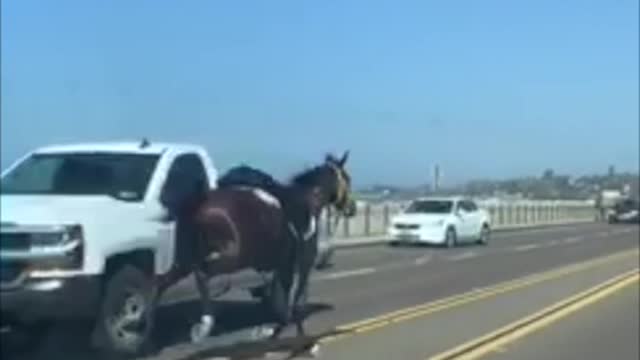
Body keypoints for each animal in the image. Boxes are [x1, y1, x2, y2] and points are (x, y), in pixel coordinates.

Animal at [179, 150, 356, 348]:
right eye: (347, 178)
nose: (352, 207)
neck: (308, 202)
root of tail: (202, 206)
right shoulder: (302, 261)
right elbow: (295, 297)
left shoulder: (282, 263)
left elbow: (279, 294)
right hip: (234, 256)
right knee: (203, 274)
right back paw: (206, 321)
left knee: (199, 272)